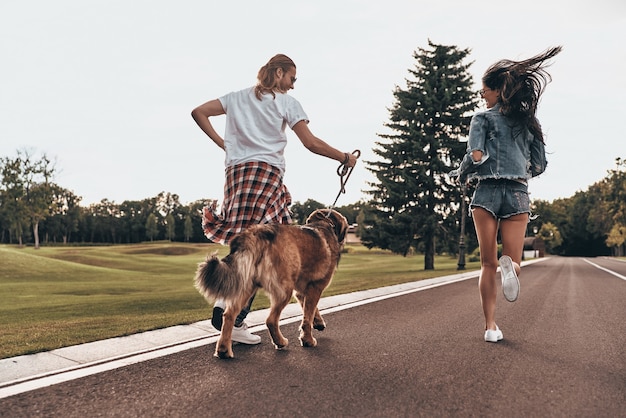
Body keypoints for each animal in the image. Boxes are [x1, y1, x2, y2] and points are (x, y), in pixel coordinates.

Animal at [194, 207, 346, 358]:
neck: (324, 224)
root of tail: (255, 234)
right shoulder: (316, 286)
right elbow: (307, 317)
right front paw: (307, 339)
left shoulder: (302, 291)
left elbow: (310, 310)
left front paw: (318, 323)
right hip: (284, 290)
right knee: (271, 320)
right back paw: (280, 342)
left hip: (246, 286)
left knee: (229, 315)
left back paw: (224, 349)